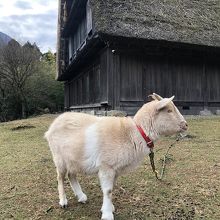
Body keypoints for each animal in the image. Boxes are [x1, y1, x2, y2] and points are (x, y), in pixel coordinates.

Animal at [44, 93, 187, 220]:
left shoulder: (115, 170)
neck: (133, 133)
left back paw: (81, 197)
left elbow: (112, 188)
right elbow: (108, 191)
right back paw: (63, 201)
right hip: (59, 157)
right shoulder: (106, 166)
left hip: (74, 158)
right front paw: (107, 214)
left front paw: (110, 208)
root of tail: (53, 125)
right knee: (60, 177)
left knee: (71, 175)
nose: (186, 125)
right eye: (169, 110)